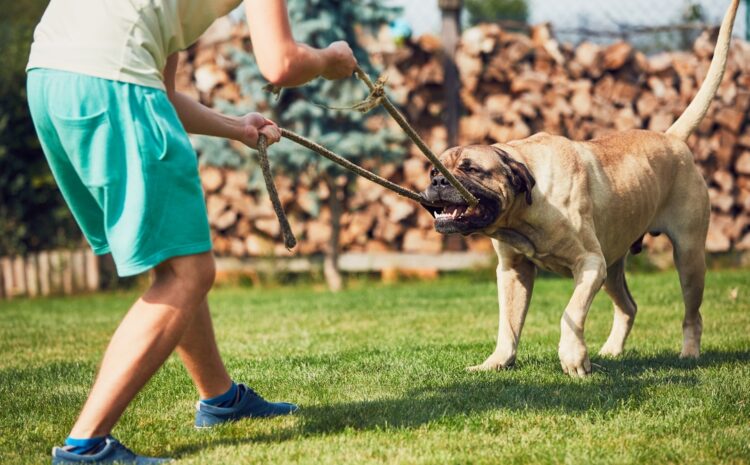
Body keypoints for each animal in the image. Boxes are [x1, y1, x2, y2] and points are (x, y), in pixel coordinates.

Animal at [420, 0, 744, 376]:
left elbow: (569, 313)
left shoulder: (590, 264)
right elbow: (509, 324)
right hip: (615, 264)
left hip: (688, 257)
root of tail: (672, 138)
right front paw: (497, 362)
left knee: (692, 314)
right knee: (629, 306)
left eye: (470, 169)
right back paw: (612, 350)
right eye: (433, 170)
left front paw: (573, 358)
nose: (439, 181)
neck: (525, 207)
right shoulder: (514, 271)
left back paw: (689, 353)